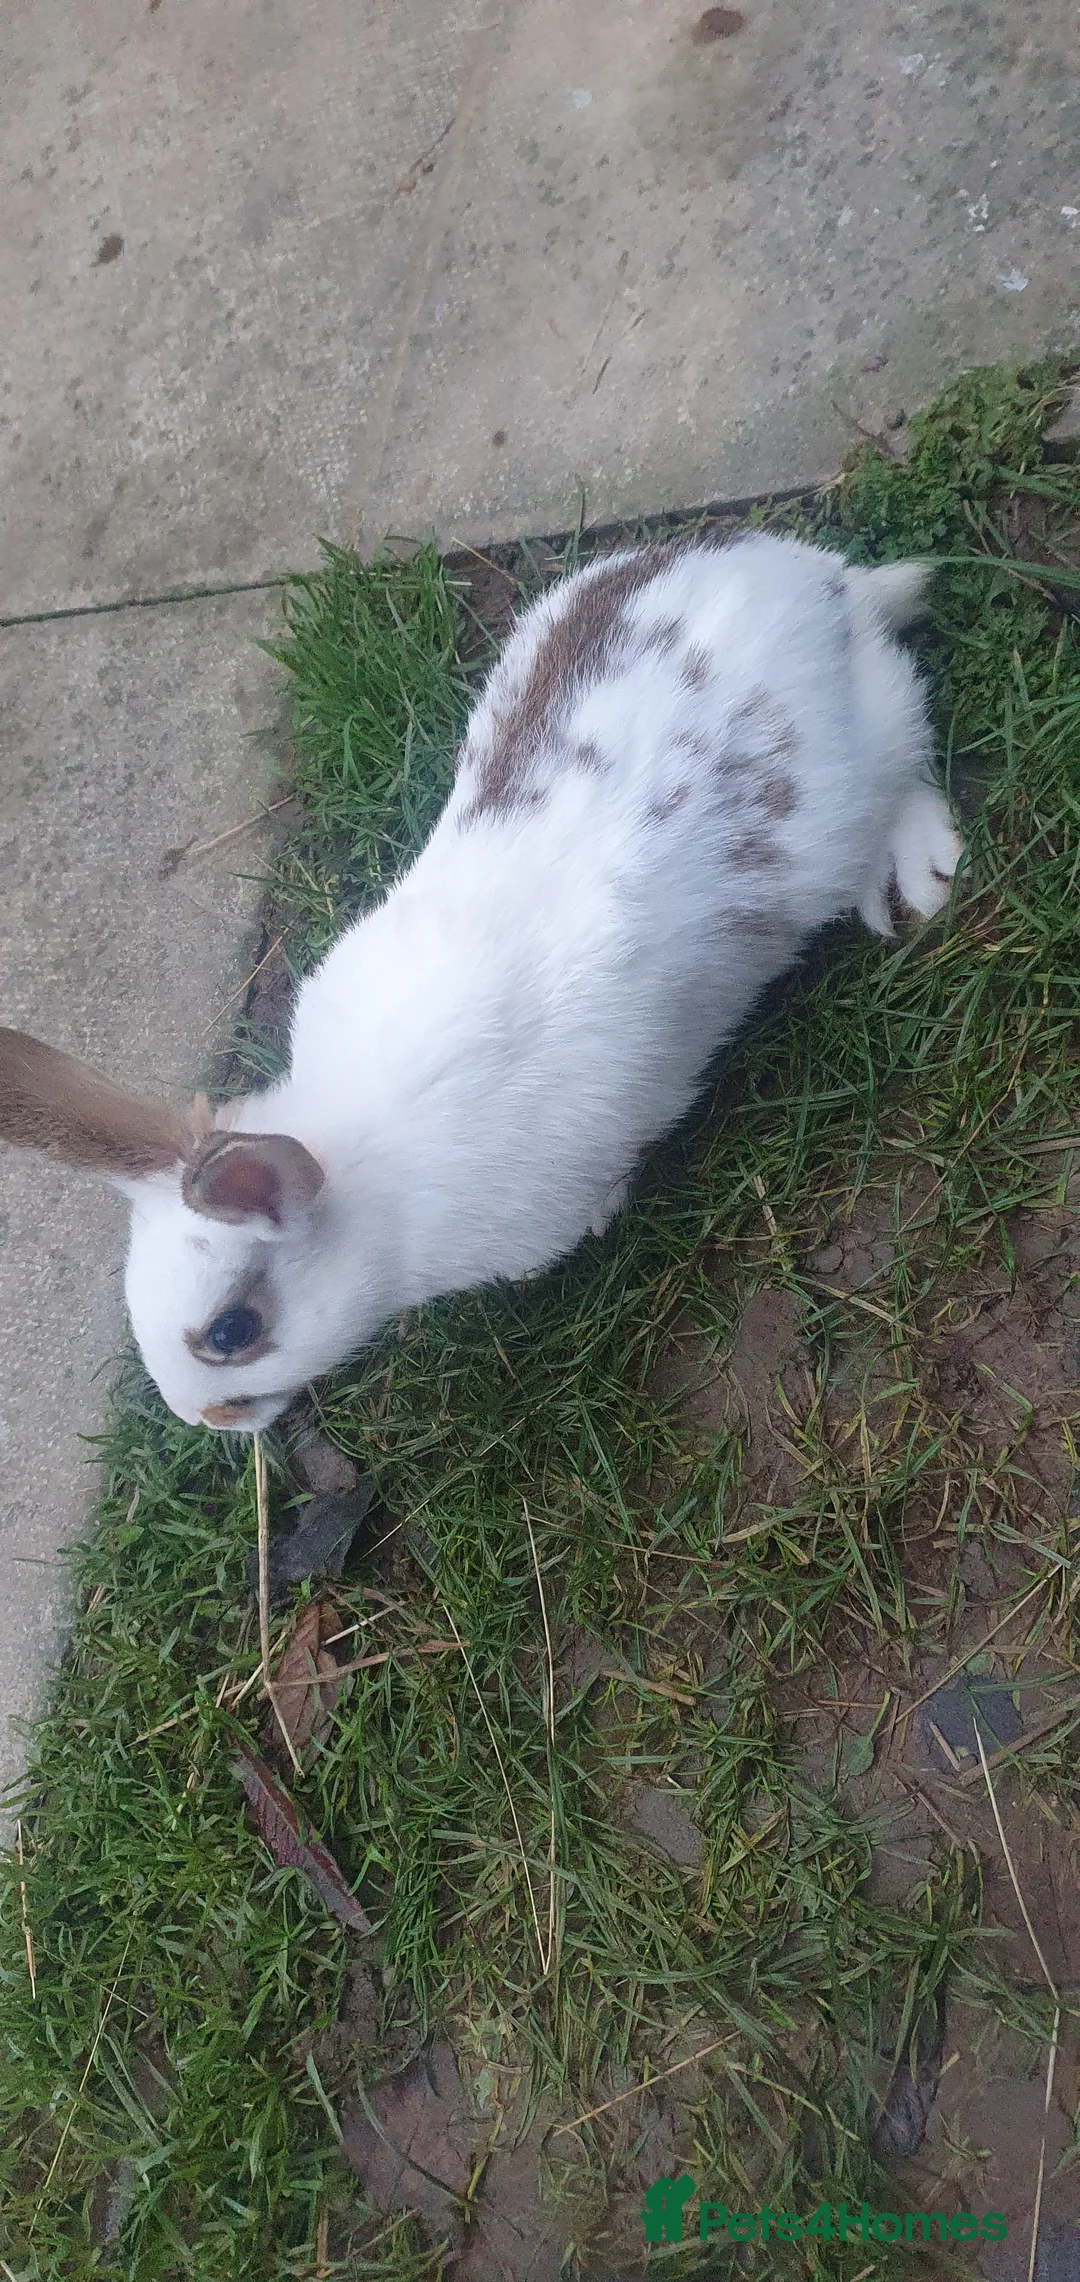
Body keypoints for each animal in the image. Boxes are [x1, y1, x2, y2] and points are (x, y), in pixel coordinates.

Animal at [0, 531, 960, 1434]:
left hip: (866, 763)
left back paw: (919, 876)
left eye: (233, 1332)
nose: (203, 1419)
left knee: (912, 752)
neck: (371, 1184)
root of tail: (823, 587)